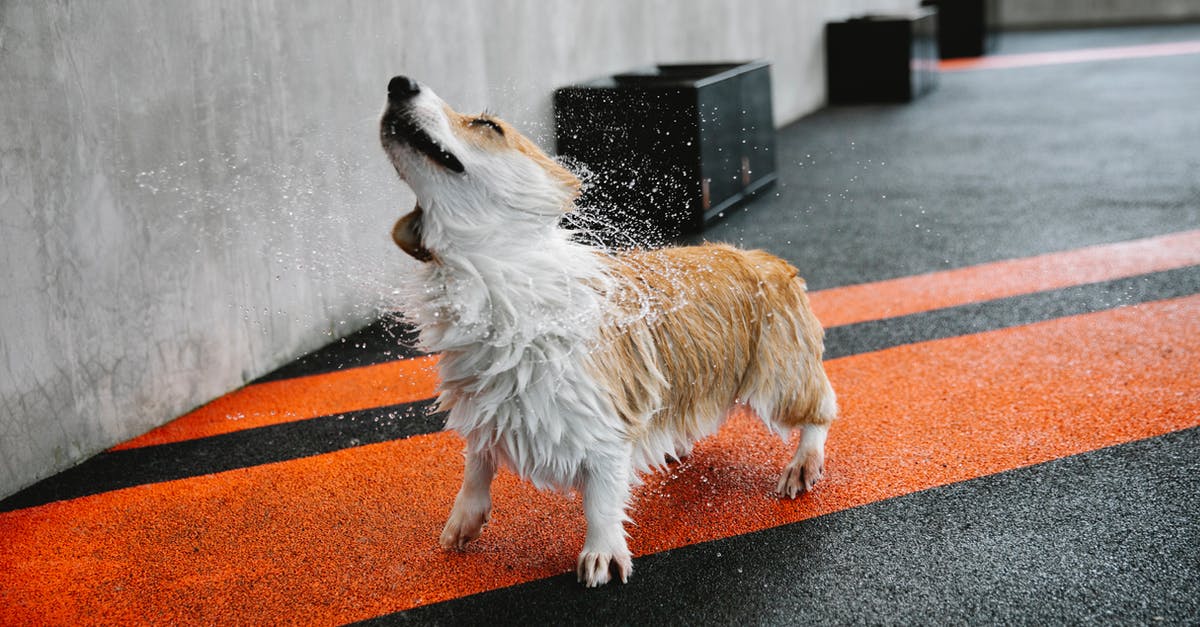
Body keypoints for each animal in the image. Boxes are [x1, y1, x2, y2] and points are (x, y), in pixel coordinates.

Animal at [376, 75, 835, 583]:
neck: (493, 278)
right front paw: (464, 519)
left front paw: (601, 552)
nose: (398, 83)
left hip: (778, 384)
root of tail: (763, 258)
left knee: (822, 409)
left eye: (487, 125)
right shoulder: (484, 405)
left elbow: (601, 495)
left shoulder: (607, 422)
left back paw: (803, 464)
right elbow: (477, 461)